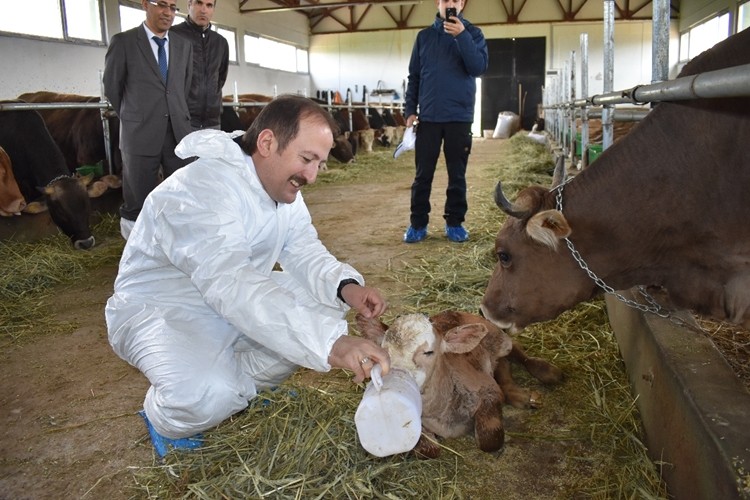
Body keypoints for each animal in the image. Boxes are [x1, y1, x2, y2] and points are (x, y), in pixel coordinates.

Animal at [358, 310, 564, 458]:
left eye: (429, 352)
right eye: (383, 351)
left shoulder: (488, 391)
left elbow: (490, 440)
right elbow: (429, 450)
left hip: (497, 335)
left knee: (515, 350)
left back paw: (547, 372)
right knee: (502, 365)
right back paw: (519, 394)